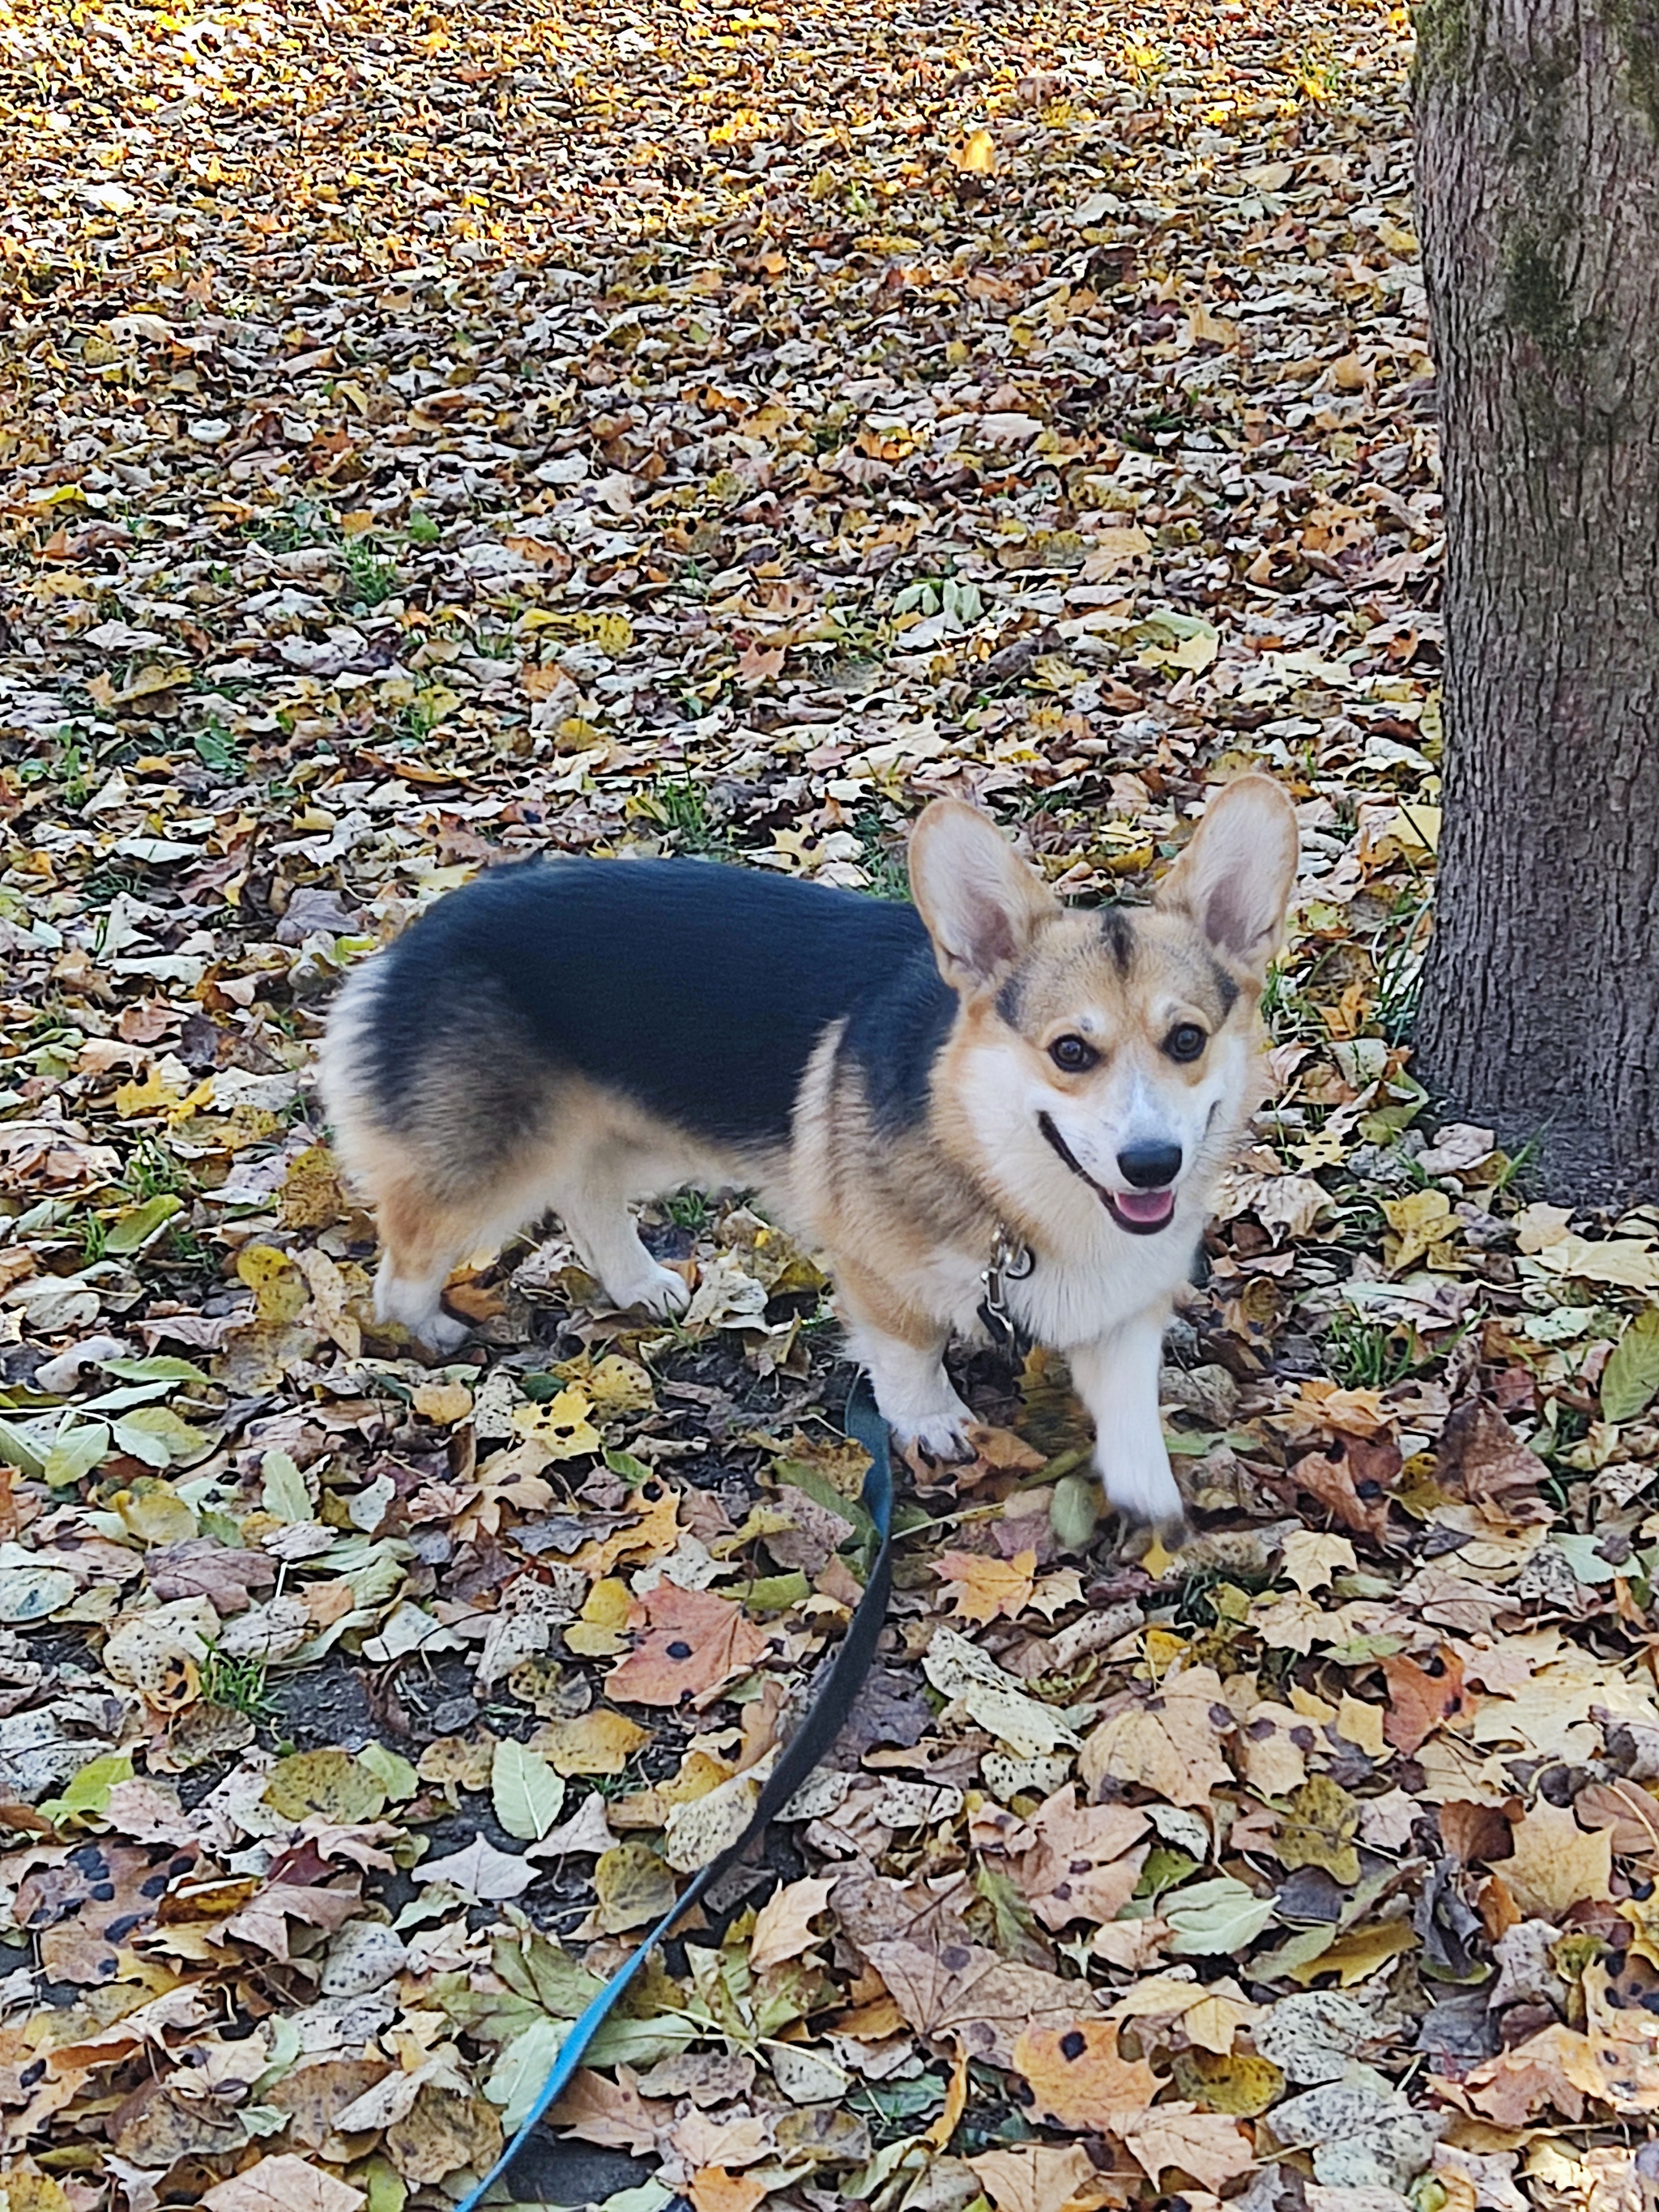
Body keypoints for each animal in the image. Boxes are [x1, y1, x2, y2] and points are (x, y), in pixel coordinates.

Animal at [320, 769, 1300, 1530]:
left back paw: (640, 1285)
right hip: (486, 1169)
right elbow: (906, 1353)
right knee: (407, 1256)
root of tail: (409, 940)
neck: (1000, 1165)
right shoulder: (875, 1270)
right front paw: (935, 1423)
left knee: (589, 1197)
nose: (1151, 1164)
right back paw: (427, 1332)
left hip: (635, 1135)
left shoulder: (1119, 1305)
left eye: (1185, 1039)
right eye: (1069, 1052)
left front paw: (1149, 1497)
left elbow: (1129, 1401)